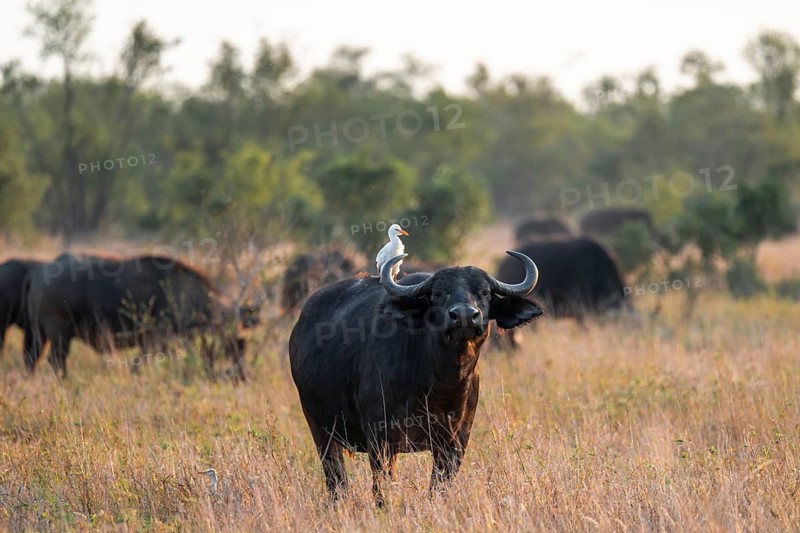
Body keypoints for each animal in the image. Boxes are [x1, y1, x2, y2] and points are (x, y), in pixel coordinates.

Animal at [24, 253, 260, 379]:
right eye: (238, 345)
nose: (244, 376)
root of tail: (39, 272)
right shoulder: (155, 339)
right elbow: (139, 363)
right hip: (60, 334)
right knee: (56, 361)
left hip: (41, 334)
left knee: (33, 358)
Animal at [289, 251, 542, 506]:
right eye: (438, 293)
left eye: (484, 292)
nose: (464, 315)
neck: (439, 387)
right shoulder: (380, 438)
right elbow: (380, 488)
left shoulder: (456, 441)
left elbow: (439, 487)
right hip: (320, 428)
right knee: (336, 479)